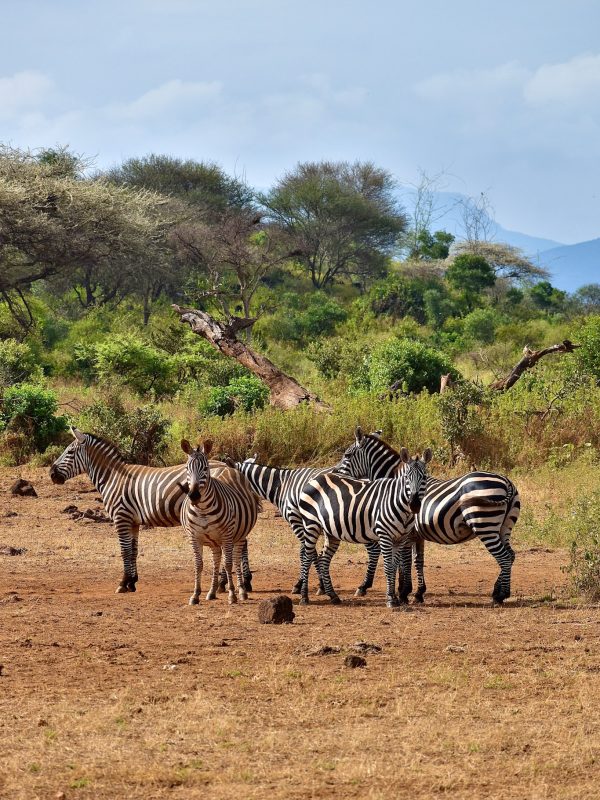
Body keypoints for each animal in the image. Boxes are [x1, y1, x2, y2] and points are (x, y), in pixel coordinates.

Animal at [49, 428, 251, 594]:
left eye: (70, 452)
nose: (51, 474)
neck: (113, 478)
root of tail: (227, 466)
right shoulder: (133, 522)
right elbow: (133, 550)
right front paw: (132, 582)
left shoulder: (121, 517)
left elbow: (124, 550)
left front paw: (123, 583)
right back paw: (236, 583)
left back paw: (227, 583)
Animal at [180, 439, 259, 605]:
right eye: (186, 469)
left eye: (205, 468)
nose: (194, 495)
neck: (203, 509)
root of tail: (230, 468)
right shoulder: (194, 537)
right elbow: (198, 565)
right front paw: (195, 595)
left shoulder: (227, 535)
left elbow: (228, 564)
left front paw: (232, 595)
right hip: (213, 541)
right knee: (216, 560)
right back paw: (212, 592)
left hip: (238, 536)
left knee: (235, 559)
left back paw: (241, 591)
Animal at [227, 454, 381, 596]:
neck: (281, 485)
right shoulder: (304, 523)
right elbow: (304, 551)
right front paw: (303, 583)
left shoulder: (295, 519)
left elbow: (308, 552)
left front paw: (317, 585)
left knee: (374, 549)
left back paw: (363, 586)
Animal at [298, 449, 432, 608]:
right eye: (406, 478)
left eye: (424, 478)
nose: (414, 505)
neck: (403, 509)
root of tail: (315, 478)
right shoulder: (384, 535)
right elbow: (388, 567)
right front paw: (391, 599)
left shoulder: (400, 538)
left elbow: (394, 567)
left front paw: (395, 598)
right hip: (310, 524)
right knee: (307, 557)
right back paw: (304, 597)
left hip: (331, 531)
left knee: (323, 559)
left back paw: (333, 596)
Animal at [336, 428, 521, 605]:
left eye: (347, 455)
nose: (336, 473)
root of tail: (507, 482)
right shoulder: (416, 535)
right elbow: (418, 561)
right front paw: (418, 593)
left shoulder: (406, 533)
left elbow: (404, 561)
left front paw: (403, 592)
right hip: (504, 527)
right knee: (510, 555)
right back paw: (498, 591)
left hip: (485, 525)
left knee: (504, 557)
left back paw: (500, 595)